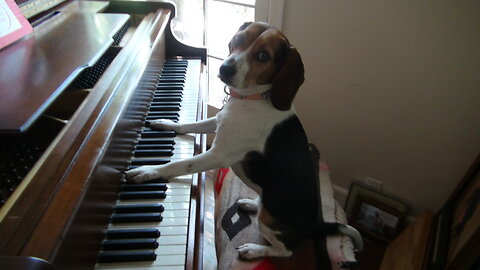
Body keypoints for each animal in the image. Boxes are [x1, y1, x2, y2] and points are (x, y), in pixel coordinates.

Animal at [125, 22, 362, 260]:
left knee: (285, 251)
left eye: (263, 56)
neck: (254, 98)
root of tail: (314, 226)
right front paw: (167, 124)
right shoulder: (218, 122)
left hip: (269, 220)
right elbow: (190, 125)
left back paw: (254, 250)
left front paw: (148, 170)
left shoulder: (217, 156)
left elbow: (180, 164)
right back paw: (251, 204)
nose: (225, 69)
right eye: (239, 39)